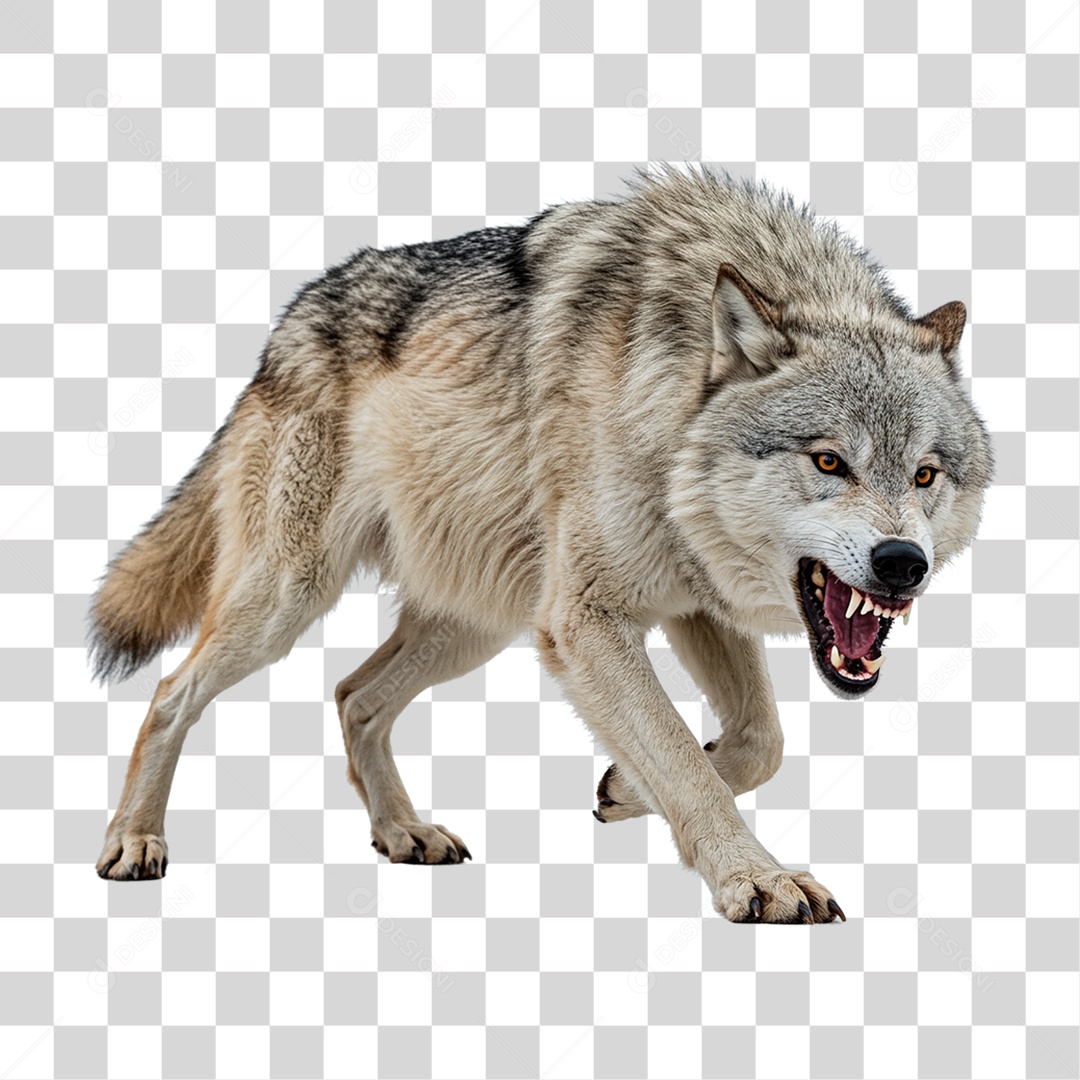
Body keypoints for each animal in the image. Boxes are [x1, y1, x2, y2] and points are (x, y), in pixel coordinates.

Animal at [89, 165, 992, 923]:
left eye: (924, 474)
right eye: (829, 461)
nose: (902, 566)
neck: (668, 402)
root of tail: (282, 332)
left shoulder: (693, 606)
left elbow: (756, 744)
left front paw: (626, 789)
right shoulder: (587, 619)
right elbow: (685, 756)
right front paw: (757, 879)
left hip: (479, 624)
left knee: (353, 695)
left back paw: (403, 831)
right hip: (291, 598)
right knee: (172, 690)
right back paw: (133, 840)